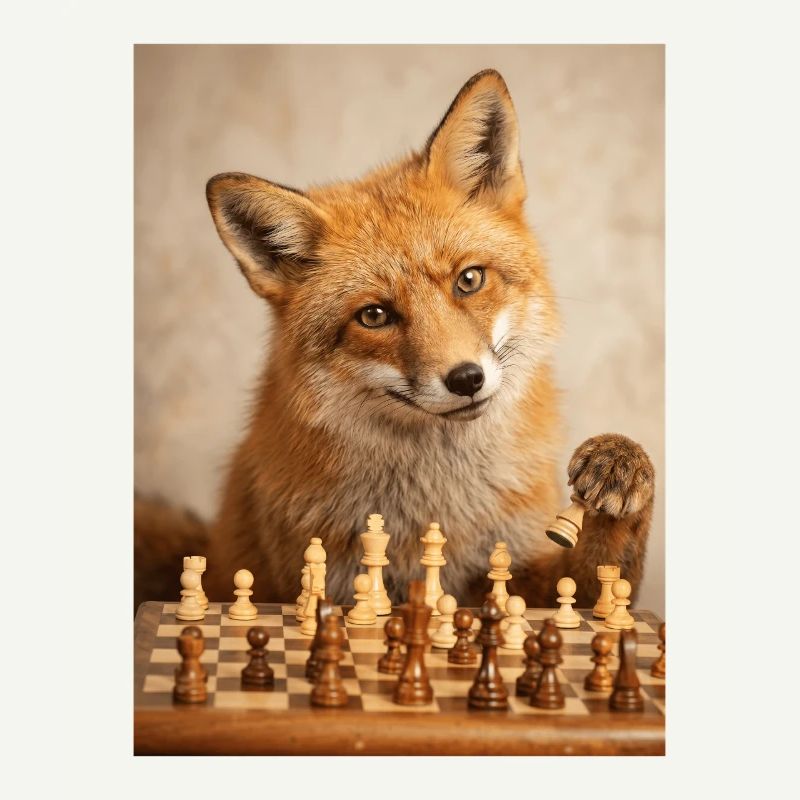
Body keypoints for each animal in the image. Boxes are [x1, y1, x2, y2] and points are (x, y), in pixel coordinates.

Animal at [135, 69, 655, 610]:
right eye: (375, 315)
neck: (436, 505)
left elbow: (602, 581)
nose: (466, 379)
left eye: (469, 280)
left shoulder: (517, 573)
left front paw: (619, 465)